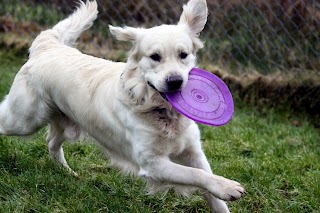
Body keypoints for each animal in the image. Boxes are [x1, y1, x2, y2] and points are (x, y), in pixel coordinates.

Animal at [0, 0, 244, 212]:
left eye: (183, 55)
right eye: (155, 56)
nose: (175, 81)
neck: (158, 110)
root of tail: (49, 47)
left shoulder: (193, 150)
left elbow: (207, 181)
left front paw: (221, 195)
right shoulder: (152, 163)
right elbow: (196, 175)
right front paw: (229, 187)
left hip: (67, 124)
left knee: (52, 142)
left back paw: (67, 172)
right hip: (24, 119)